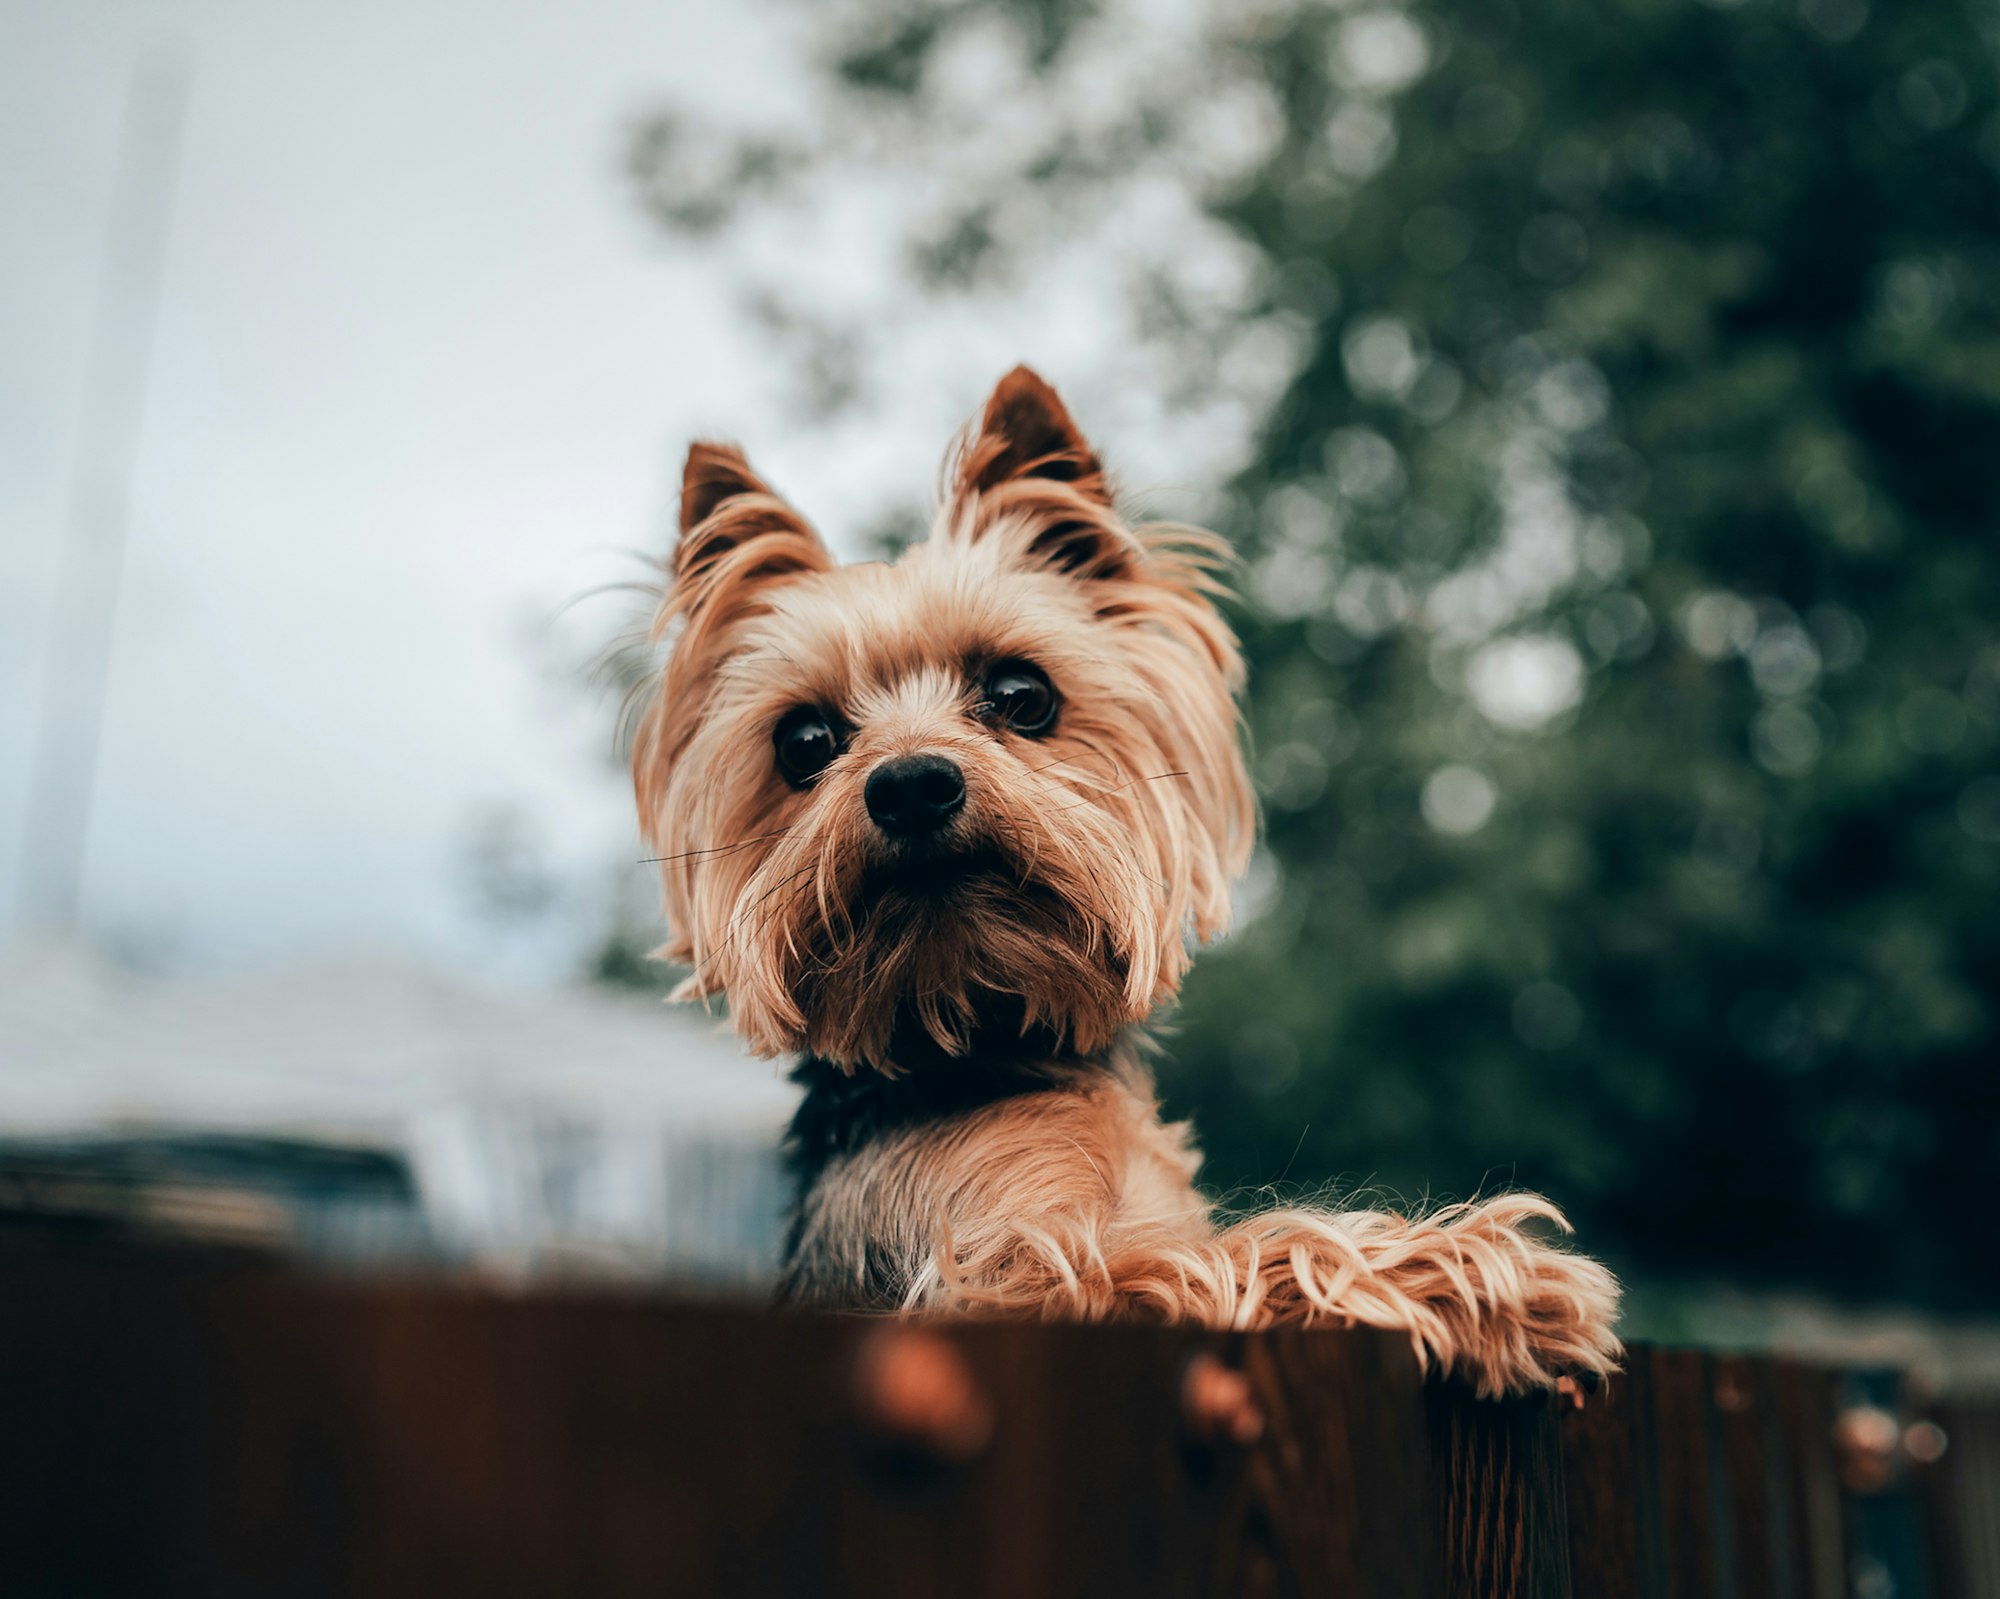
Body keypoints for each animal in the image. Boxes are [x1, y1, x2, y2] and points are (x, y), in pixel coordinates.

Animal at [640, 367, 1624, 1391]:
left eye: (1022, 694)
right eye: (804, 742)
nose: (910, 784)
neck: (983, 1039)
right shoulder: (1009, 1278)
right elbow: (1231, 1254)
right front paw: (1487, 1275)